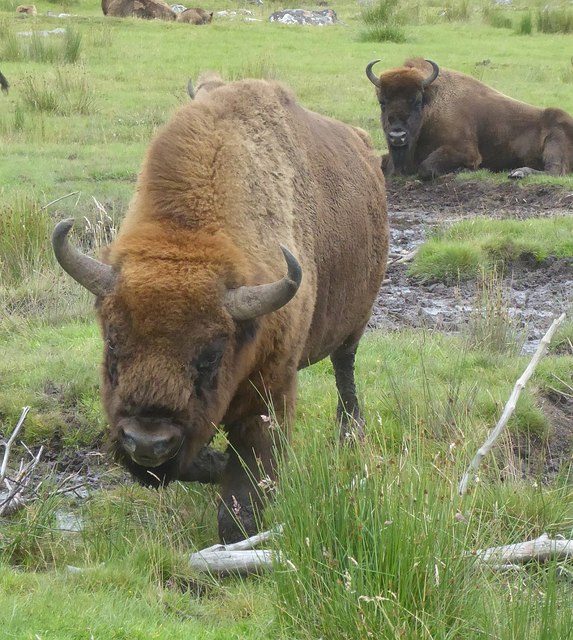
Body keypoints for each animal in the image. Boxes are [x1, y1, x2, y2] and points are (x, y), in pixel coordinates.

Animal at [52, 75, 388, 544]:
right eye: (113, 343)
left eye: (210, 356)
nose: (147, 442)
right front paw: (211, 465)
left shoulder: (270, 394)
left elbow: (244, 494)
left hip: (354, 323)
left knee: (345, 371)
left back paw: (349, 437)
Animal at [364, 57, 572, 179]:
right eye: (382, 102)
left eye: (416, 101)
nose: (397, 136)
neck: (432, 109)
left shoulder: (466, 151)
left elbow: (427, 167)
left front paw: (463, 170)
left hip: (555, 138)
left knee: (555, 171)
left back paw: (518, 172)